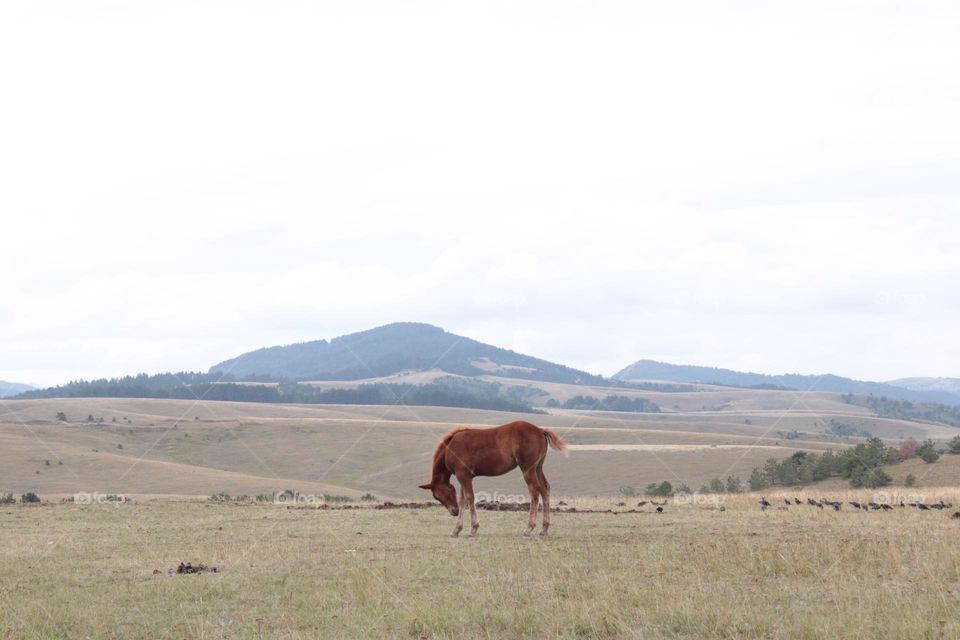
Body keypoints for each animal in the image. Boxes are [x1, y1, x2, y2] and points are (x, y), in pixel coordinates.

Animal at [418, 420, 568, 536]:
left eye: (443, 495)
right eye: (437, 498)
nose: (453, 512)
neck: (451, 447)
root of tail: (540, 430)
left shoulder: (463, 475)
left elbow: (470, 497)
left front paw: (473, 528)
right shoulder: (464, 477)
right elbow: (463, 500)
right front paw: (457, 529)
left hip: (528, 468)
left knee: (535, 491)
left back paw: (529, 528)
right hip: (538, 467)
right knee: (545, 488)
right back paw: (544, 529)